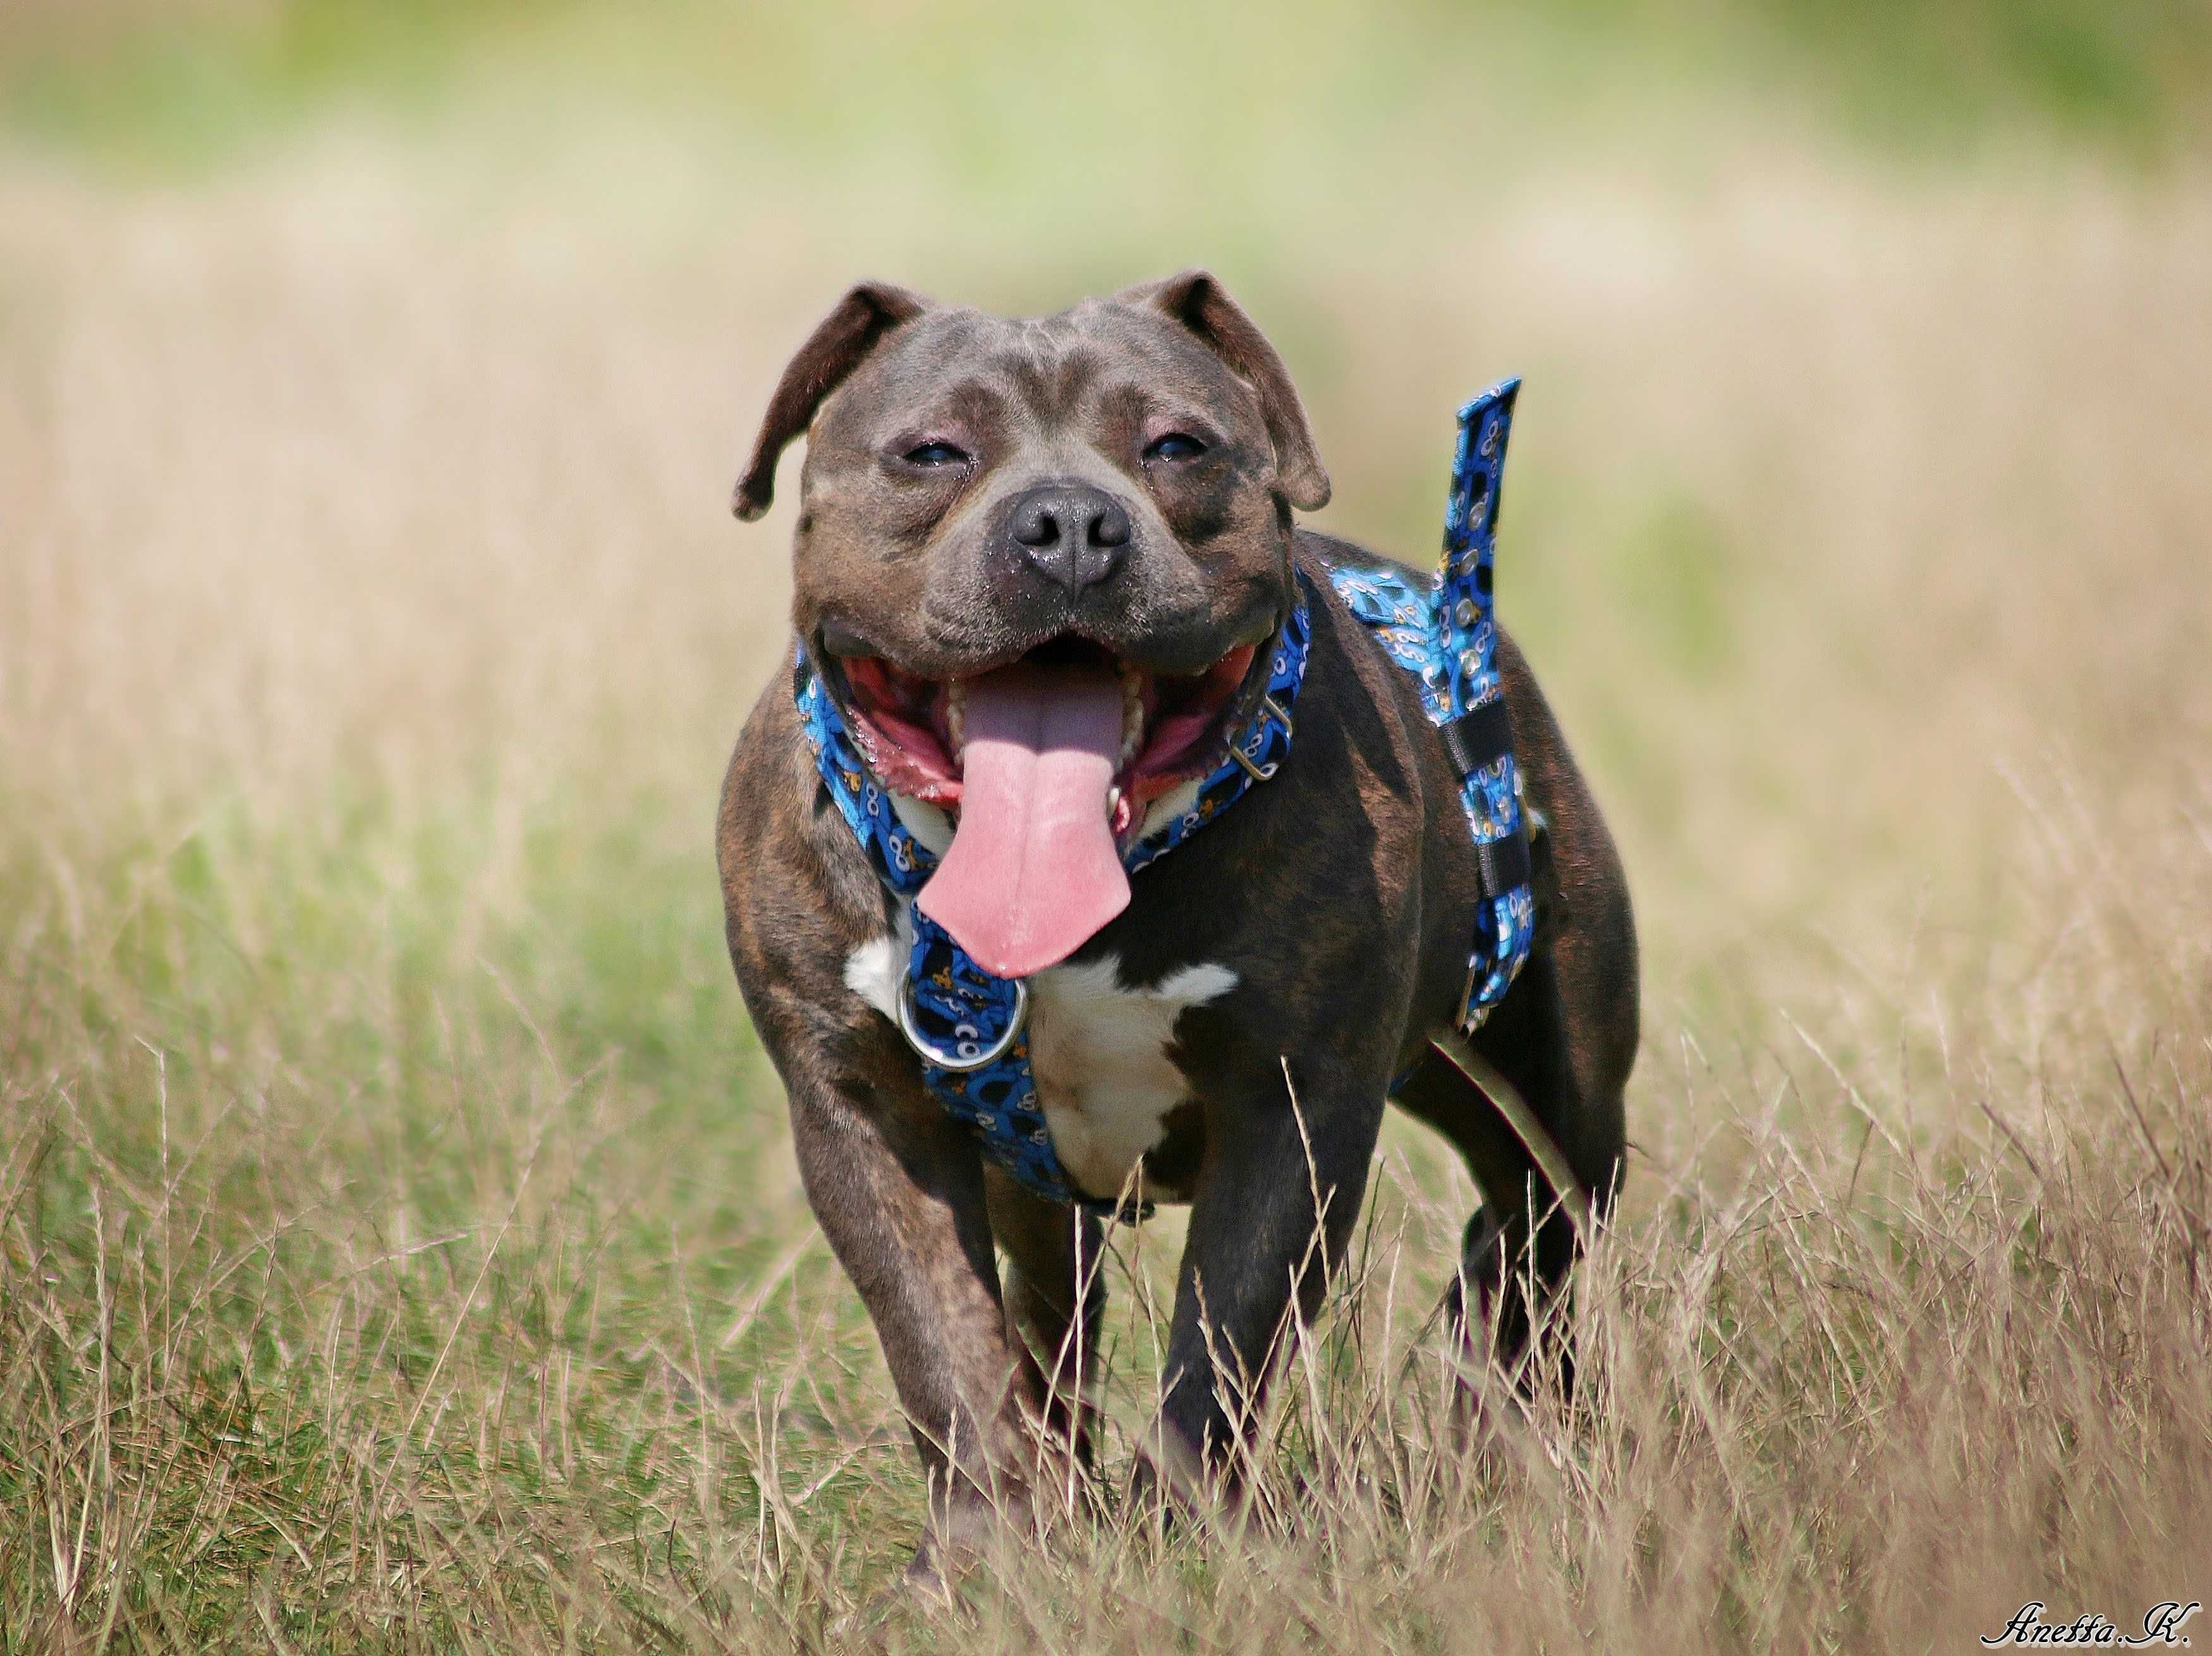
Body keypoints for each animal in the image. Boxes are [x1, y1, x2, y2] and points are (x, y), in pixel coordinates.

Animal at [717, 274, 1637, 1592]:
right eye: (932, 452)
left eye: (1177, 447)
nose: (1067, 523)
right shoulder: (865, 1114)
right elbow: (945, 1349)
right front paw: (983, 1560)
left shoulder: (1295, 1108)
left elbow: (1221, 1346)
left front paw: (1187, 1552)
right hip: (1049, 1195)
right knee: (1051, 1330)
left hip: (1554, 1087)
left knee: (1535, 1224)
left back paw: (1503, 1416)